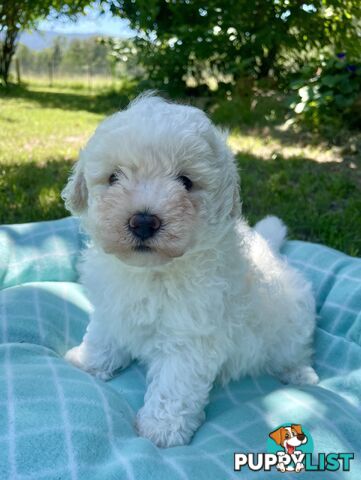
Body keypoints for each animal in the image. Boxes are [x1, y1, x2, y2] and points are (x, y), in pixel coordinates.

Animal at [63, 93, 316, 446]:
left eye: (186, 181)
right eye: (114, 177)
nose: (143, 221)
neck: (154, 272)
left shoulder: (190, 337)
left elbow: (174, 385)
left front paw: (160, 429)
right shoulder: (112, 309)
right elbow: (102, 338)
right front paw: (86, 362)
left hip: (293, 322)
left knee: (296, 351)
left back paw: (300, 373)